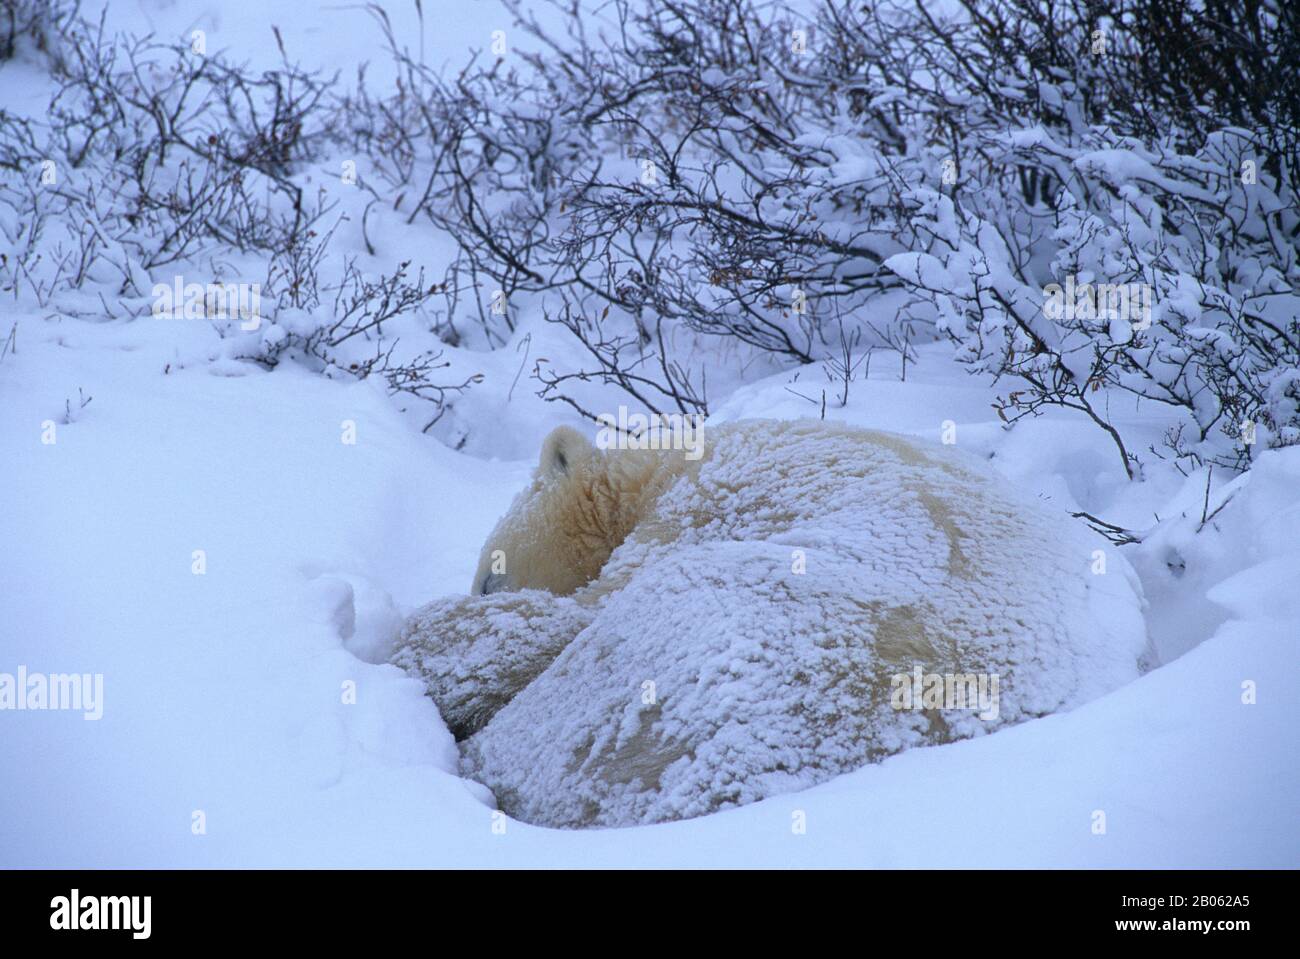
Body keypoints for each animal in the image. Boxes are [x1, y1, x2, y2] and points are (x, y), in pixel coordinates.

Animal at [394, 418, 1147, 828]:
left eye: (489, 577)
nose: (481, 587)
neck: (664, 468)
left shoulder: (711, 501)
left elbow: (569, 616)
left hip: (710, 652)